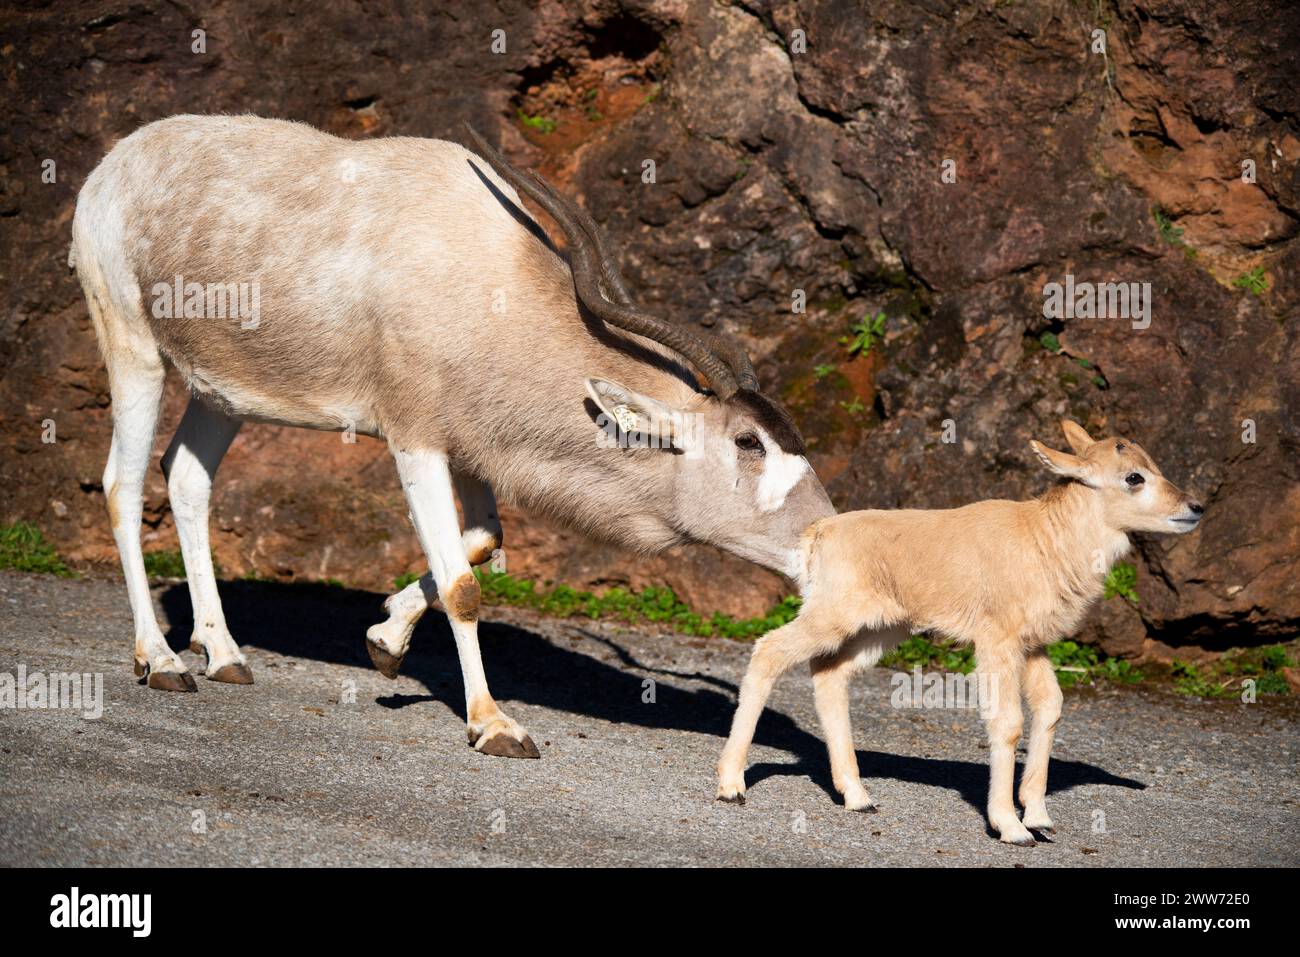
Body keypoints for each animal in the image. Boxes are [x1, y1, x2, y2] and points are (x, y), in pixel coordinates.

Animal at [73, 113, 832, 754]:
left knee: (186, 478)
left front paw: (385, 636)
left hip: (221, 393)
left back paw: (224, 653)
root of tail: (115, 164)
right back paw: (161, 659)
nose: (822, 543)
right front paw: (493, 724)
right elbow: (465, 585)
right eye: (747, 441)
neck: (495, 280)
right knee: (121, 485)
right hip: (134, 346)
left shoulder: (471, 447)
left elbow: (481, 542)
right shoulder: (414, 438)